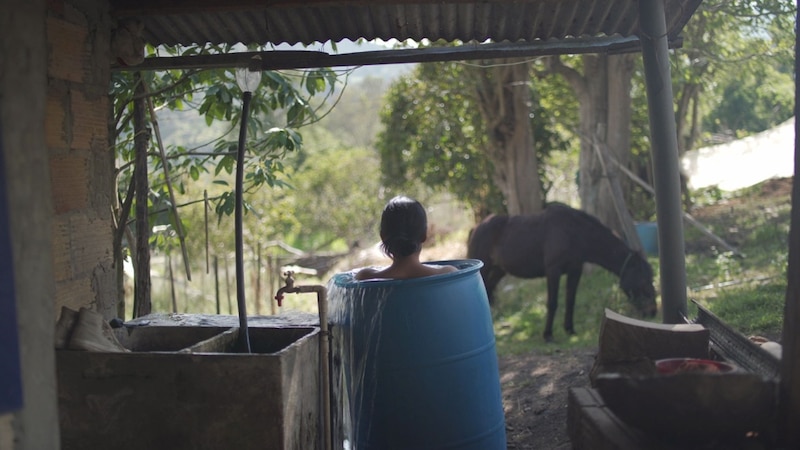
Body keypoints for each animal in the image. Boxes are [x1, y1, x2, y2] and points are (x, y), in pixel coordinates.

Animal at [468, 204, 656, 342]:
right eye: (643, 281)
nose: (653, 312)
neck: (574, 232)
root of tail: (477, 227)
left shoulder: (575, 271)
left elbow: (570, 301)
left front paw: (570, 330)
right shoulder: (553, 271)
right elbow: (552, 303)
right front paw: (548, 335)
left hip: (498, 271)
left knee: (489, 292)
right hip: (485, 268)